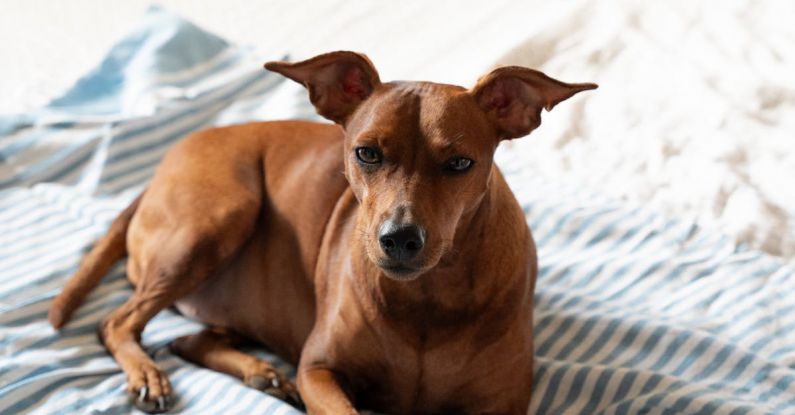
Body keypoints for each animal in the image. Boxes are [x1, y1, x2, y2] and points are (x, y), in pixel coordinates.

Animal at [48, 50, 596, 414]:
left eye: (460, 163)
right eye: (367, 153)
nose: (400, 238)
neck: (426, 297)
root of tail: (159, 170)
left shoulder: (501, 403)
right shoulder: (318, 370)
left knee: (187, 340)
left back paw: (261, 372)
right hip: (215, 220)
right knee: (117, 323)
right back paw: (149, 375)